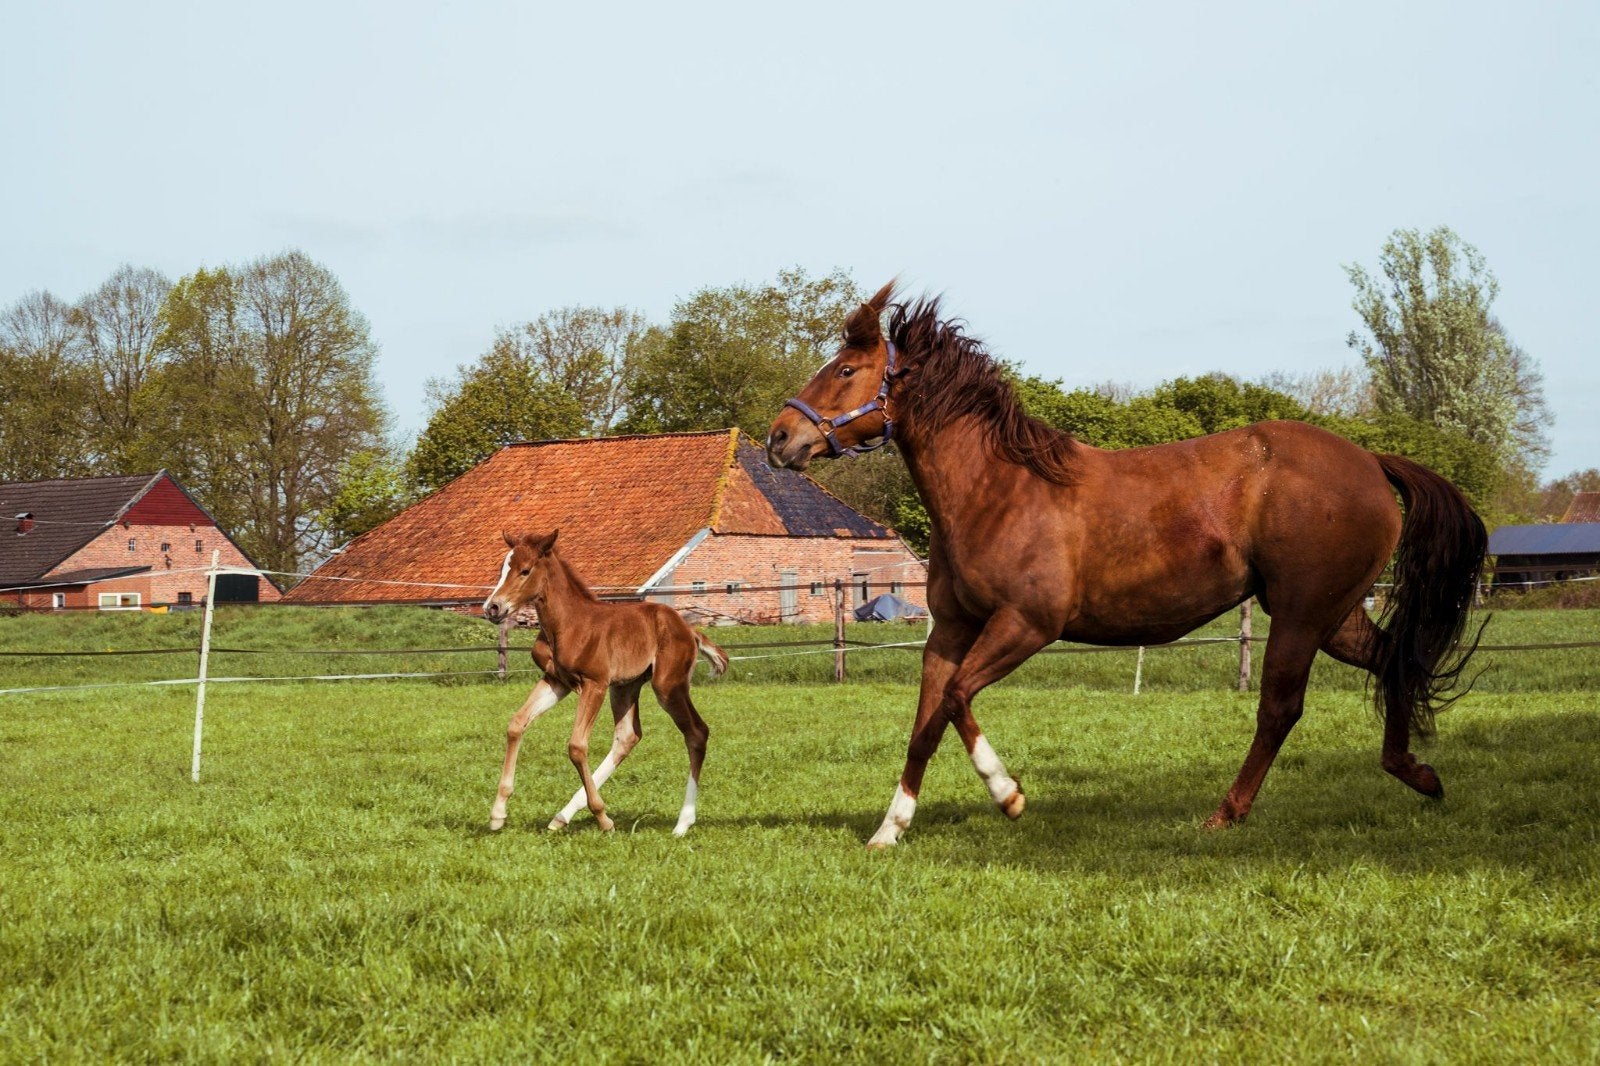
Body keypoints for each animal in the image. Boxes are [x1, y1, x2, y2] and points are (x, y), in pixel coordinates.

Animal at [482, 529, 727, 836]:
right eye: (502, 569)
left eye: (525, 570)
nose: (492, 607)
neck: (569, 624)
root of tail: (690, 629)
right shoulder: (556, 681)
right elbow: (516, 724)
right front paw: (498, 814)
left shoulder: (594, 684)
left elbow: (576, 746)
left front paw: (602, 817)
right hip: (625, 686)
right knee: (627, 736)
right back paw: (561, 816)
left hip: (667, 684)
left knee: (696, 732)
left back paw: (683, 823)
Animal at [767, 283, 1486, 848]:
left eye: (845, 370)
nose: (779, 438)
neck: (998, 490)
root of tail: (1371, 462)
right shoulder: (950, 629)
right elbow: (926, 725)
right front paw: (889, 830)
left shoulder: (1028, 624)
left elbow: (956, 698)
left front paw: (1009, 795)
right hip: (1333, 615)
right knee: (1393, 660)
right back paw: (1417, 773)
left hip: (1302, 616)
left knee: (1280, 708)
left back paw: (1226, 814)